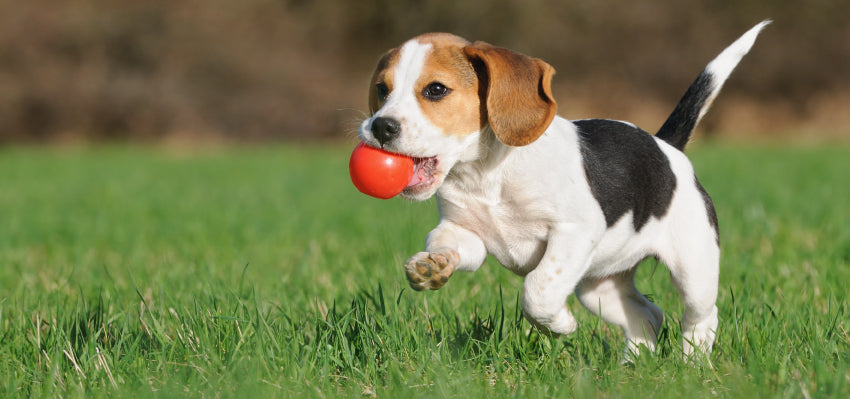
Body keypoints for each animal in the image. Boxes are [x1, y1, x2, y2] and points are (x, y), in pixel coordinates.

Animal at [358, 20, 768, 358]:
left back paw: (692, 363)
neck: (486, 174)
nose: (380, 127)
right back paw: (632, 367)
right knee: (648, 315)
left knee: (701, 317)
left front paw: (560, 325)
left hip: (693, 269)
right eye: (381, 89)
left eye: (436, 90)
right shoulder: (466, 233)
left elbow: (537, 291)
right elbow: (445, 242)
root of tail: (665, 146)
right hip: (599, 287)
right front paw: (432, 266)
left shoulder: (574, 232)